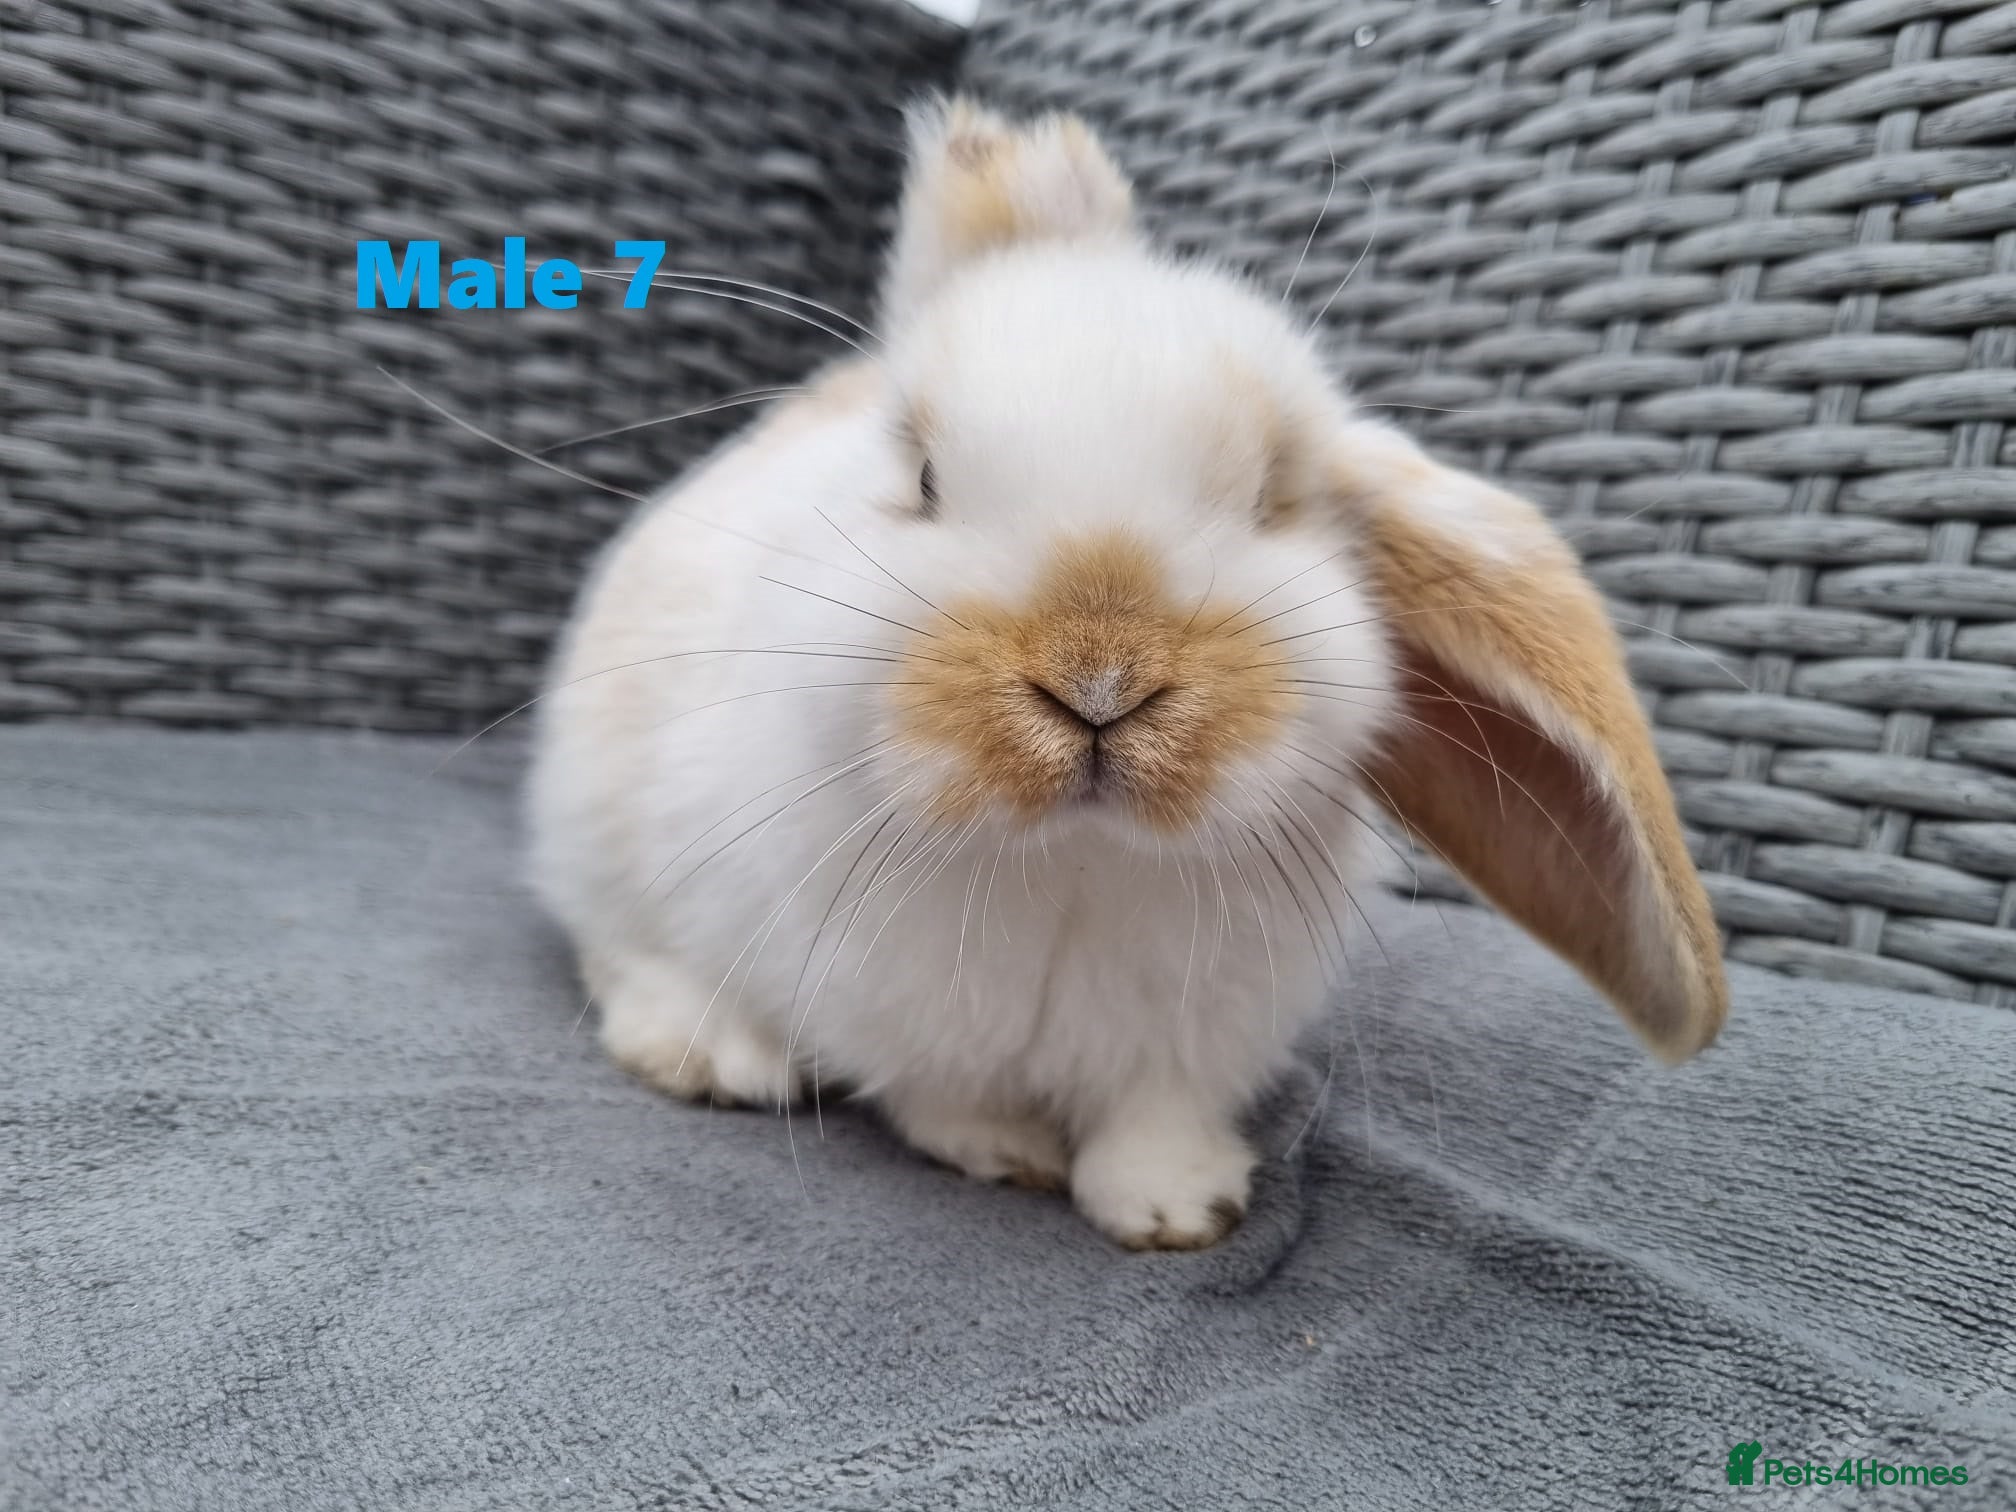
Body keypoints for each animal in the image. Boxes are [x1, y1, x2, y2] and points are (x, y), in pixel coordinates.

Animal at [525, 99, 1727, 1251]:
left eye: (1273, 496)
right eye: (924, 478)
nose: (1098, 680)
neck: (1079, 862)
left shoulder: (1189, 1048)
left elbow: (1154, 1120)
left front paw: (1176, 1210)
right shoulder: (891, 1013)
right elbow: (938, 1096)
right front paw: (1006, 1152)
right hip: (598, 828)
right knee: (616, 949)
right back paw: (707, 1051)